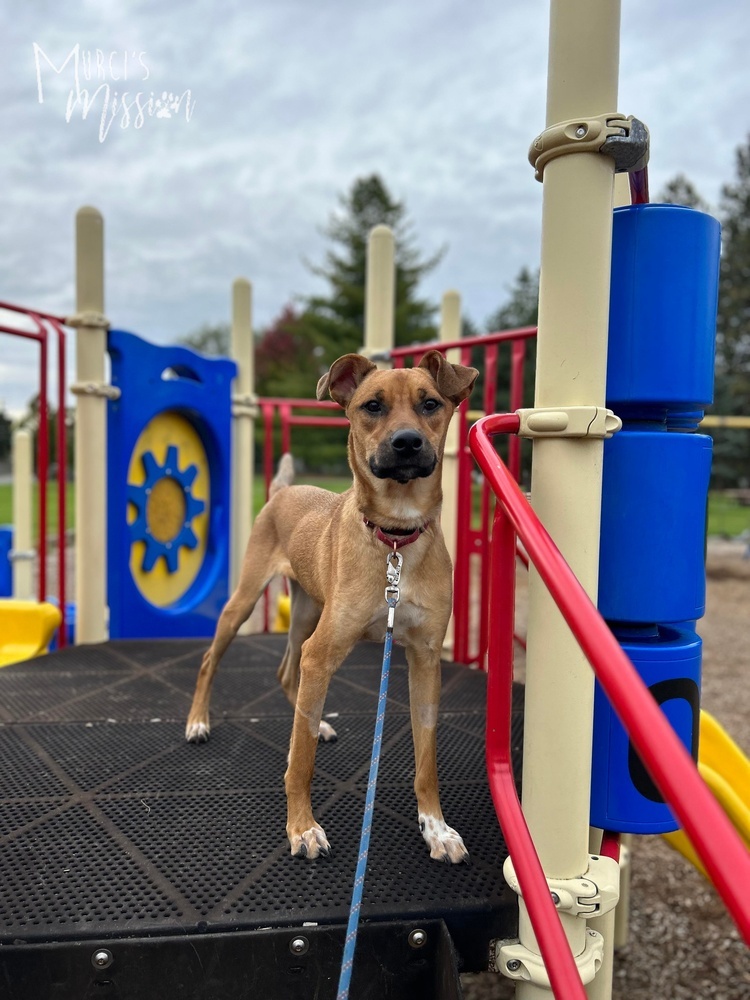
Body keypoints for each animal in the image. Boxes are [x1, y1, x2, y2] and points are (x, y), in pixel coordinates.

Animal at [186, 352, 478, 860]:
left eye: (430, 403)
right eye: (372, 406)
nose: (407, 443)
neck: (395, 540)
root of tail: (283, 491)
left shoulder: (424, 661)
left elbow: (427, 763)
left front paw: (436, 828)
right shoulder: (323, 654)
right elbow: (302, 765)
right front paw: (301, 827)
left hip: (306, 614)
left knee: (288, 674)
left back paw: (315, 723)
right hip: (246, 605)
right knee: (210, 660)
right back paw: (199, 721)